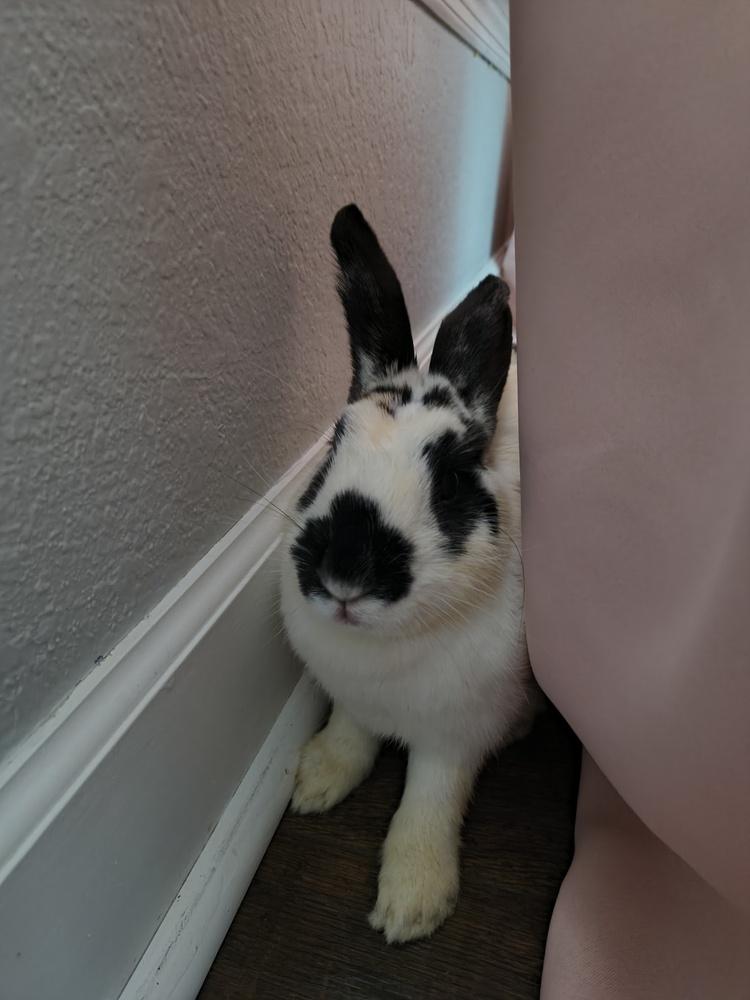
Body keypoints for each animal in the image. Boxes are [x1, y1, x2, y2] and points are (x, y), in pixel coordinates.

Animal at [280, 204, 540, 944]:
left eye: (449, 478)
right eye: (332, 447)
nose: (344, 572)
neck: (383, 652)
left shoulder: (455, 737)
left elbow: (427, 805)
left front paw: (411, 906)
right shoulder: (350, 698)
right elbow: (349, 735)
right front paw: (313, 781)